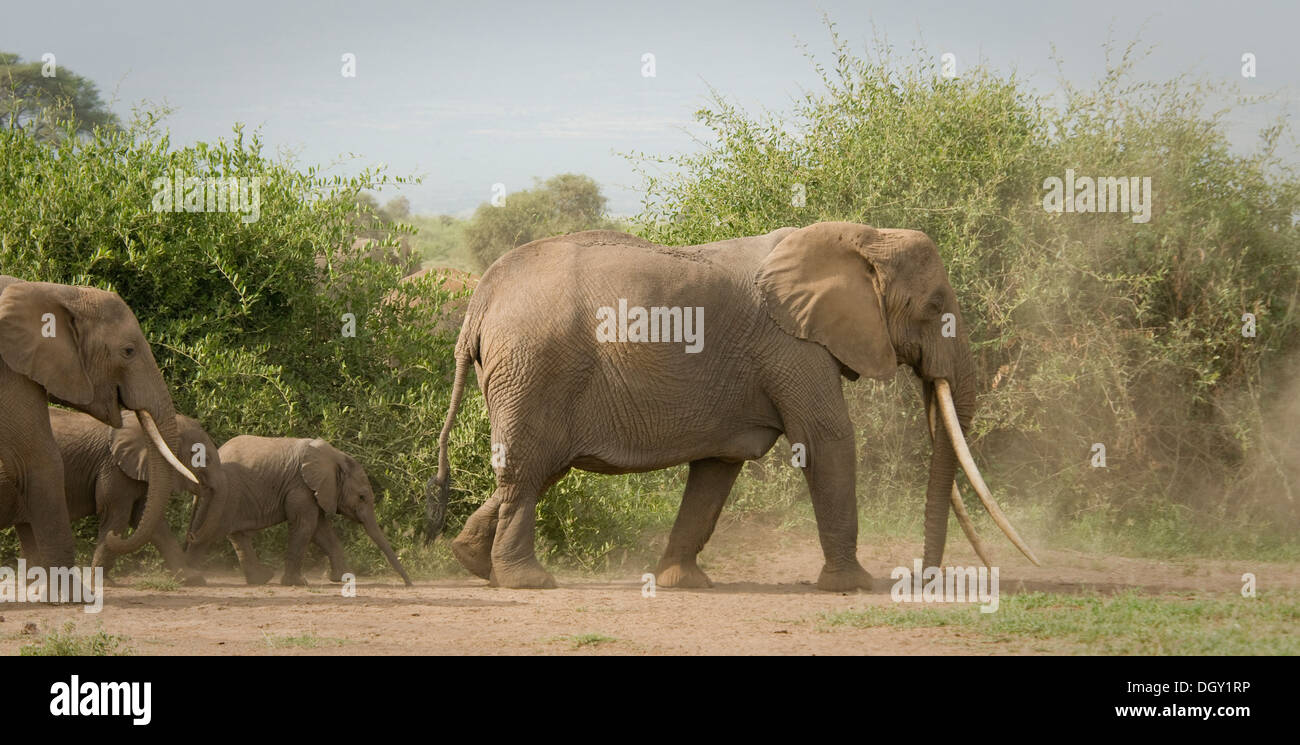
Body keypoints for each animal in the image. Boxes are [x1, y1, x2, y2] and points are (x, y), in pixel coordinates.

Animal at [23, 407, 229, 585]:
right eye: (205, 459)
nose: (191, 535)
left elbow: (147, 520)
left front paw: (193, 579)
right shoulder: (114, 468)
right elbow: (118, 516)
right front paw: (104, 582)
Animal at [186, 436, 413, 586]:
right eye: (362, 497)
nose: (409, 584)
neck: (335, 457)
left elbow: (321, 531)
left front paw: (342, 578)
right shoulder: (300, 487)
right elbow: (306, 526)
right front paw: (297, 583)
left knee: (236, 536)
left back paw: (261, 579)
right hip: (225, 494)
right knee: (209, 533)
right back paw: (192, 579)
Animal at [426, 222, 1039, 590]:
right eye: (934, 305)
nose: (923, 579)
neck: (859, 236)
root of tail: (482, 297)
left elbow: (718, 467)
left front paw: (683, 584)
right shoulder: (793, 345)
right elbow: (826, 439)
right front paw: (854, 586)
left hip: (521, 374)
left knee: (534, 472)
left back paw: (471, 562)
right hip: (534, 367)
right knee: (528, 472)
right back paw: (527, 581)